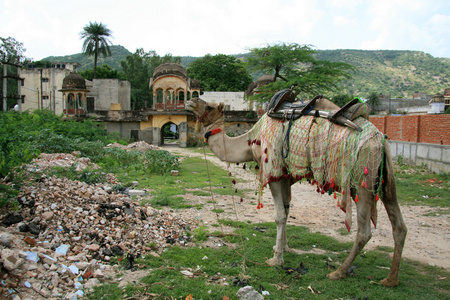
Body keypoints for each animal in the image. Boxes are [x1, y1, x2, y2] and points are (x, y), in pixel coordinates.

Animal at [186, 95, 408, 286]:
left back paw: (338, 272)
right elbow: (286, 210)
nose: (190, 101)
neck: (251, 140)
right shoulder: (284, 175)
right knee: (399, 225)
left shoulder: (273, 169)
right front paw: (284, 247)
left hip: (362, 177)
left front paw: (276, 259)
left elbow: (279, 215)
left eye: (210, 107)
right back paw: (390, 279)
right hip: (385, 178)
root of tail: (379, 140)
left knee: (364, 231)